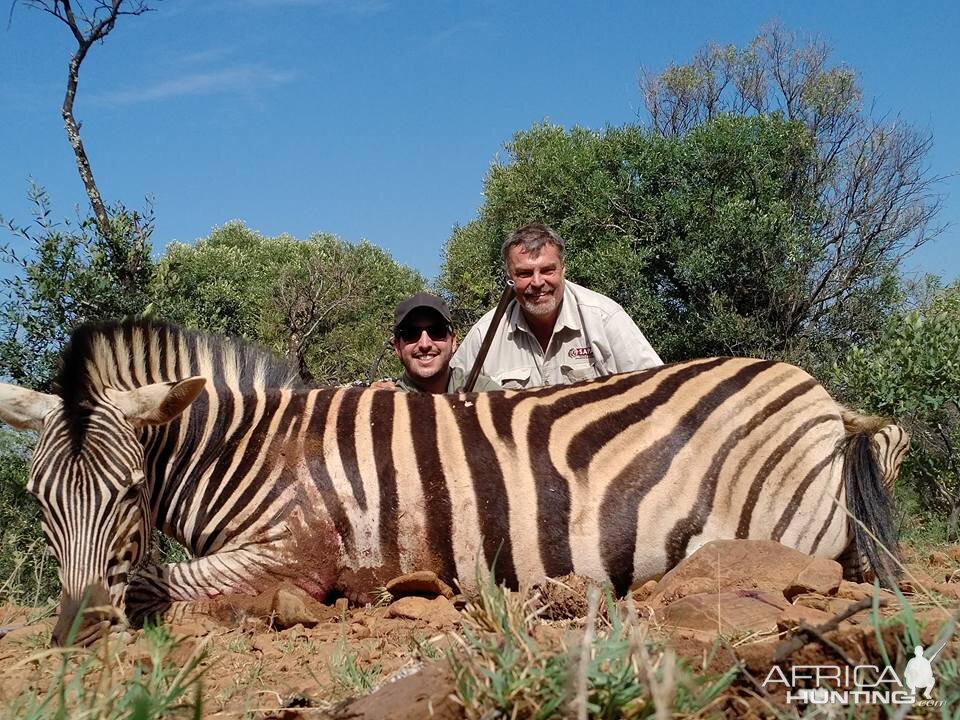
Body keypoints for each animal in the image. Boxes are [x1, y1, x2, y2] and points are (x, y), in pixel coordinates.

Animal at [0, 318, 908, 644]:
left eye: (127, 492)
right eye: (39, 503)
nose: (76, 633)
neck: (254, 450)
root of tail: (820, 395)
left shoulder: (294, 557)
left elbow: (152, 581)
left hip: (790, 534)